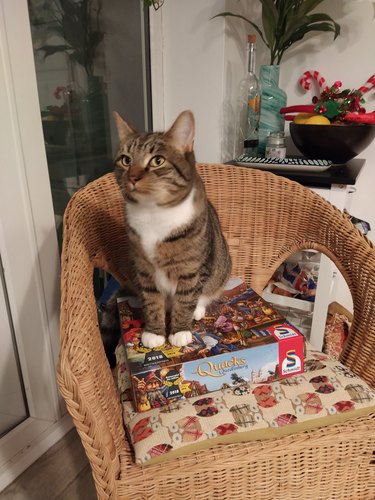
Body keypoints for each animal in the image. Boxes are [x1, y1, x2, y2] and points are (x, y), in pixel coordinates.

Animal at [114, 109, 232, 348]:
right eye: (126, 160)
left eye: (157, 160)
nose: (132, 177)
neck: (153, 212)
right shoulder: (143, 269)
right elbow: (152, 300)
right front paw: (154, 332)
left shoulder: (192, 269)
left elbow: (186, 299)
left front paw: (179, 331)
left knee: (203, 294)